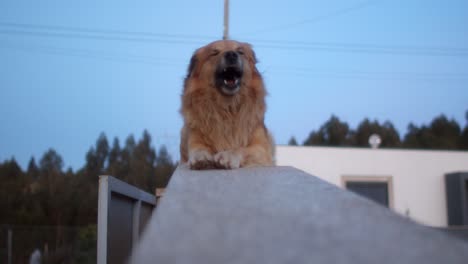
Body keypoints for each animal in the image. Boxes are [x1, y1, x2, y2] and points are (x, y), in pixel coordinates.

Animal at [179, 40, 274, 170]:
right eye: (214, 53)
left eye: (240, 52)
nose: (231, 54)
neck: (228, 106)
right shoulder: (195, 137)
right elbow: (198, 149)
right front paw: (201, 157)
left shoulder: (261, 149)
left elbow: (242, 149)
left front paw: (228, 155)